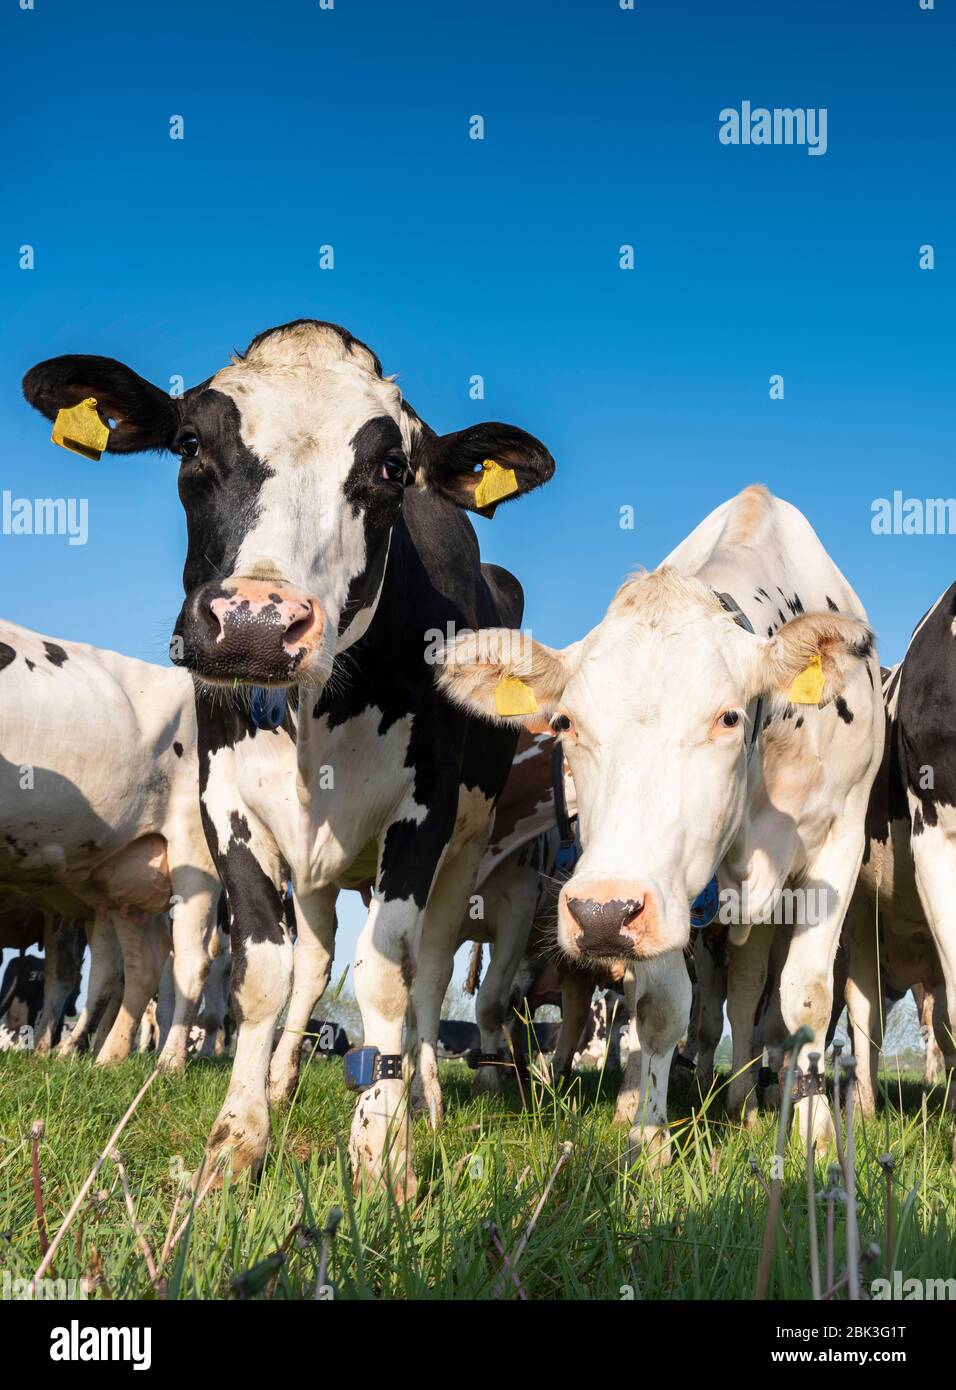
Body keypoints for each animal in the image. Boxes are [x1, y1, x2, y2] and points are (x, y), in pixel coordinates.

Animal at [0, 619, 220, 1068]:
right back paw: (107, 1058)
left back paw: (168, 1064)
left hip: (197, 857)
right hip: (127, 879)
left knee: (190, 962)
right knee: (139, 966)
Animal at [24, 318, 555, 1197]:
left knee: (430, 972)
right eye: (190, 443)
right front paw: (238, 1138)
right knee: (312, 961)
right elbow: (265, 974)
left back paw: (426, 1098)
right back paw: (281, 1077)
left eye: (391, 468)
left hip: (470, 849)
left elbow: (387, 972)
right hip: (313, 862)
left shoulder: (424, 813)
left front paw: (385, 1151)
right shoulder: (229, 805)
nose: (257, 623)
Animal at [440, 485, 883, 1166]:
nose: (599, 914)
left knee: (752, 998)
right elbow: (658, 1009)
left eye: (728, 716)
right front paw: (648, 1137)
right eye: (565, 722)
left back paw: (745, 1102)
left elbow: (805, 995)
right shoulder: (661, 889)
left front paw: (815, 1133)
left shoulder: (839, 840)